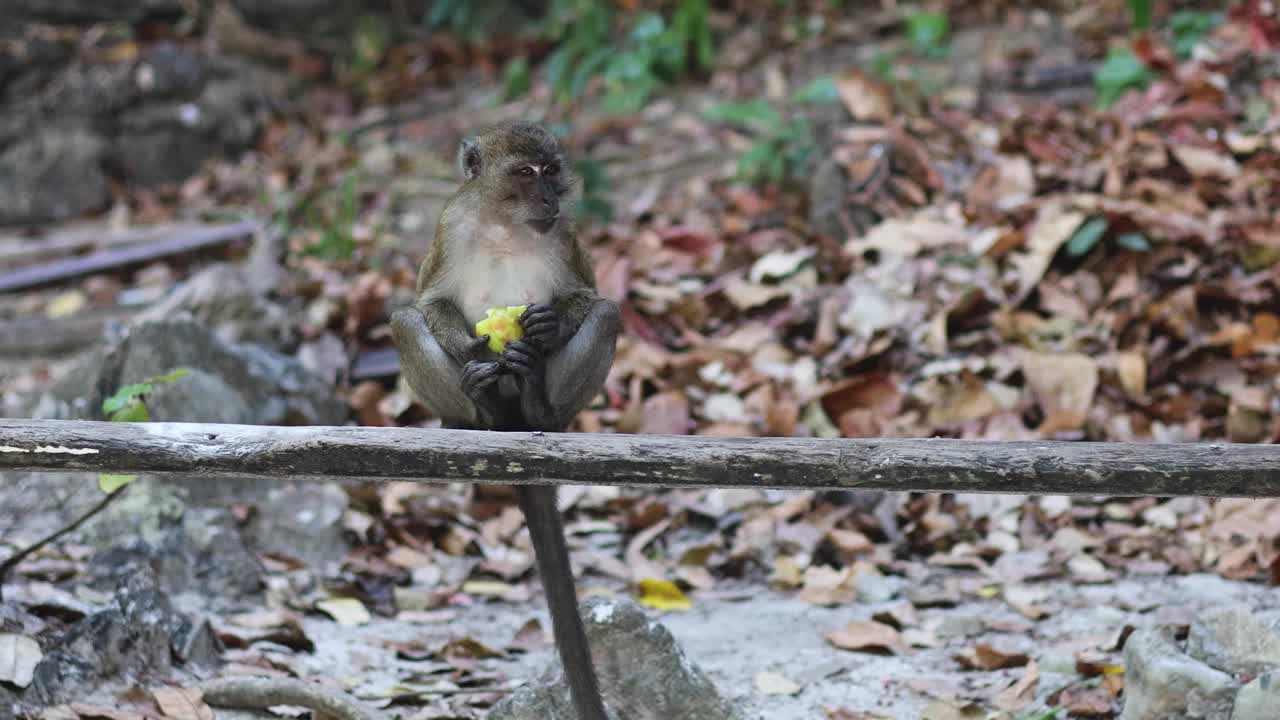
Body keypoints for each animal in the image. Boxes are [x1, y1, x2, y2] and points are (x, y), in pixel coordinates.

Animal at [389, 120, 619, 717]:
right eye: (524, 172)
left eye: (551, 170)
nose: (550, 197)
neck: (505, 227)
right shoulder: (451, 226)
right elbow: (428, 302)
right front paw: (473, 352)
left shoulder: (563, 235)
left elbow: (587, 295)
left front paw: (545, 327)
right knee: (404, 319)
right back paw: (482, 411)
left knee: (607, 314)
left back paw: (538, 404)